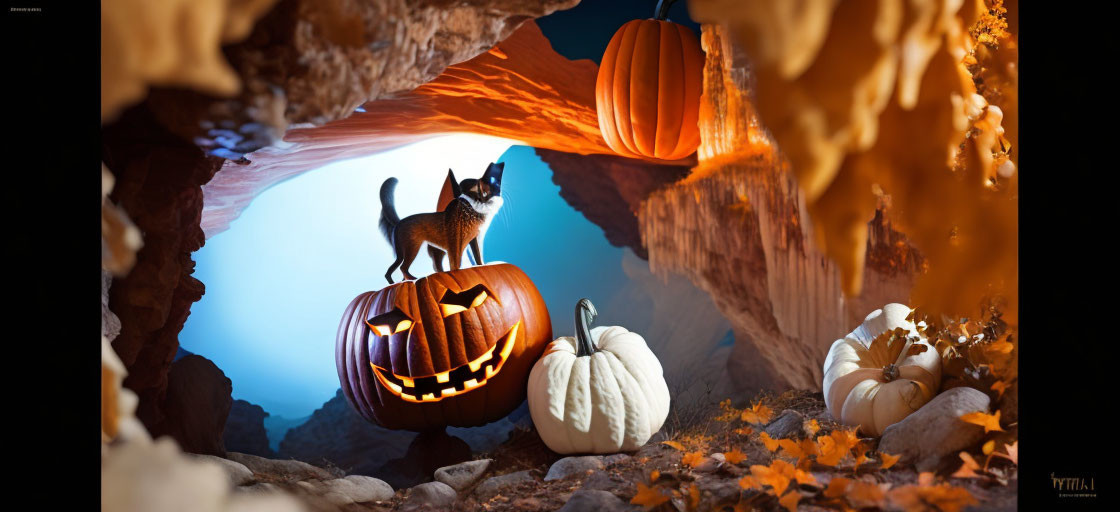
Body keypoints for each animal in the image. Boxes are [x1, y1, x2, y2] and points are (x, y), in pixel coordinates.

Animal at [378, 161, 506, 283]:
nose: (485, 199)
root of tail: (398, 223)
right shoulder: (455, 243)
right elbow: (456, 262)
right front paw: (457, 272)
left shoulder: (473, 240)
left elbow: (477, 256)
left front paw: (480, 266)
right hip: (412, 248)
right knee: (403, 268)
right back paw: (413, 279)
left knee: (391, 271)